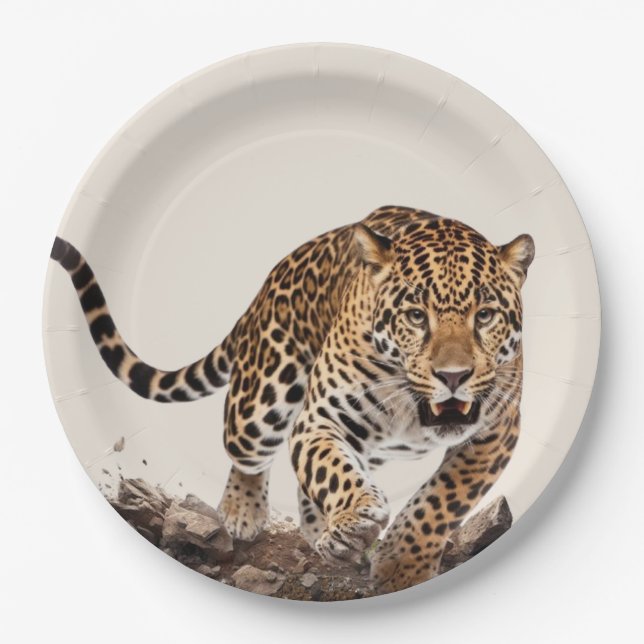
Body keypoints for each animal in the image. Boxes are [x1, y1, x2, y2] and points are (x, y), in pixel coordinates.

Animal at [50, 205, 534, 593]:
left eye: (485, 315)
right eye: (416, 316)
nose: (453, 376)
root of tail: (271, 279)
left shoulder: (497, 430)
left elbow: (441, 501)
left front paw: (401, 567)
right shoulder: (321, 419)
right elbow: (331, 469)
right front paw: (357, 518)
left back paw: (324, 533)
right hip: (262, 399)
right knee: (247, 454)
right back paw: (242, 512)